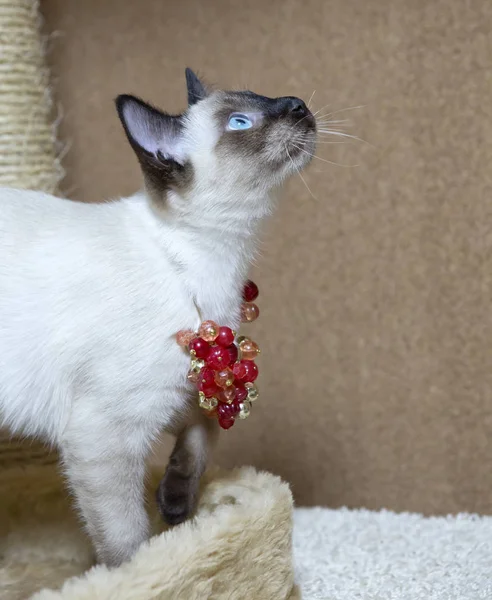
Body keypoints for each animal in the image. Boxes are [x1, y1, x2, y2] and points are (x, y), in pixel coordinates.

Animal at [0, 70, 316, 568]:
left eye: (263, 98)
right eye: (241, 122)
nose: (299, 104)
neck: (213, 263)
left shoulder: (186, 388)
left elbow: (203, 434)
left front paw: (175, 505)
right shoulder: (106, 431)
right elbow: (127, 540)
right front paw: (143, 570)